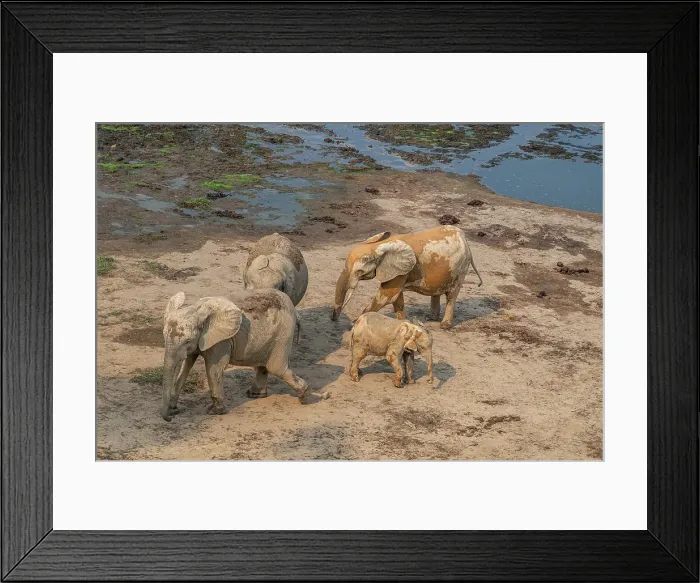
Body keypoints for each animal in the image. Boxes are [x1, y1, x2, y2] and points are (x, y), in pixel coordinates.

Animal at [160, 289, 308, 422]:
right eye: (164, 336)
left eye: (187, 341)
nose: (170, 418)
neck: (196, 310)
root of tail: (295, 311)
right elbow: (187, 365)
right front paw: (173, 407)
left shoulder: (220, 341)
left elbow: (213, 369)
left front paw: (214, 411)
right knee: (264, 365)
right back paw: (255, 395)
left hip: (283, 335)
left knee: (276, 368)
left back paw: (303, 396)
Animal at [331, 225, 483, 329]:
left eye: (359, 272)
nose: (334, 320)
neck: (379, 245)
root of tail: (464, 238)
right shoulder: (399, 271)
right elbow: (396, 298)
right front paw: (403, 323)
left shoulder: (401, 271)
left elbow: (387, 295)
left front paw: (355, 322)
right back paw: (431, 318)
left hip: (460, 268)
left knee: (451, 296)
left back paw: (444, 325)